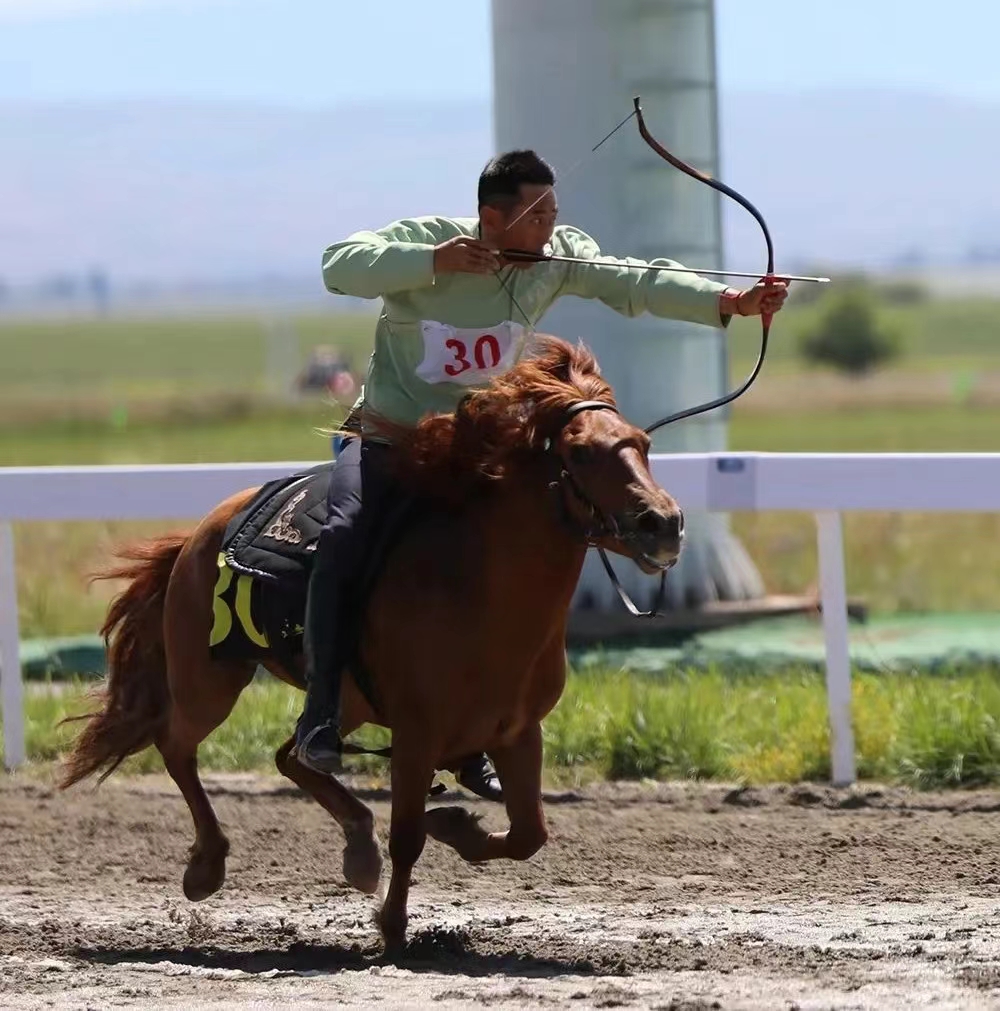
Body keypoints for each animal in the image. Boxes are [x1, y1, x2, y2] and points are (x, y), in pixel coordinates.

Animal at [58, 335, 683, 950]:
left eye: (643, 443)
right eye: (581, 453)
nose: (664, 523)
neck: (478, 584)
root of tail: (199, 533)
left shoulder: (518, 732)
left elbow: (530, 833)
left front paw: (454, 825)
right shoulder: (416, 733)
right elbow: (408, 835)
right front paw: (394, 924)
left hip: (342, 700)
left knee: (291, 754)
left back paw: (358, 846)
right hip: (207, 681)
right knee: (176, 746)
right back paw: (208, 864)